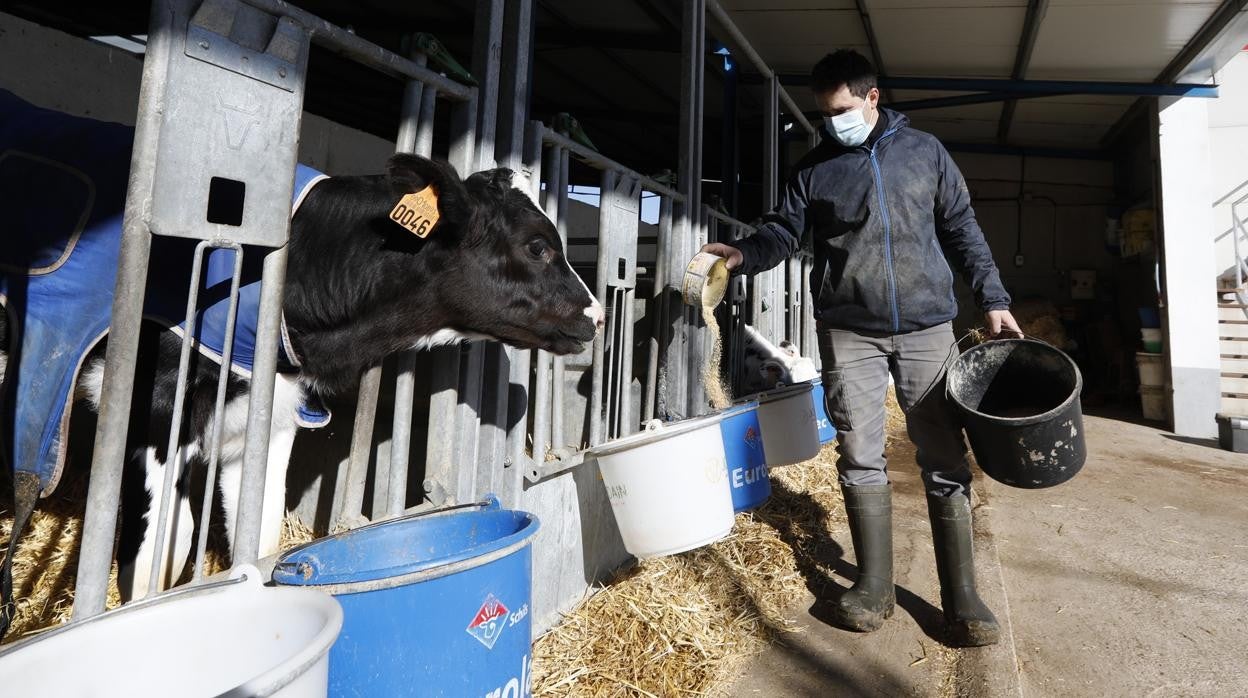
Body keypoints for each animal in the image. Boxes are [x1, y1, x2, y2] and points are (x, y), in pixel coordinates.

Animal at [56, 152, 601, 601]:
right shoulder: (153, 409)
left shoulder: (266, 416)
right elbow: (160, 556)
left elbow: (260, 535)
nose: (597, 316)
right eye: (537, 247)